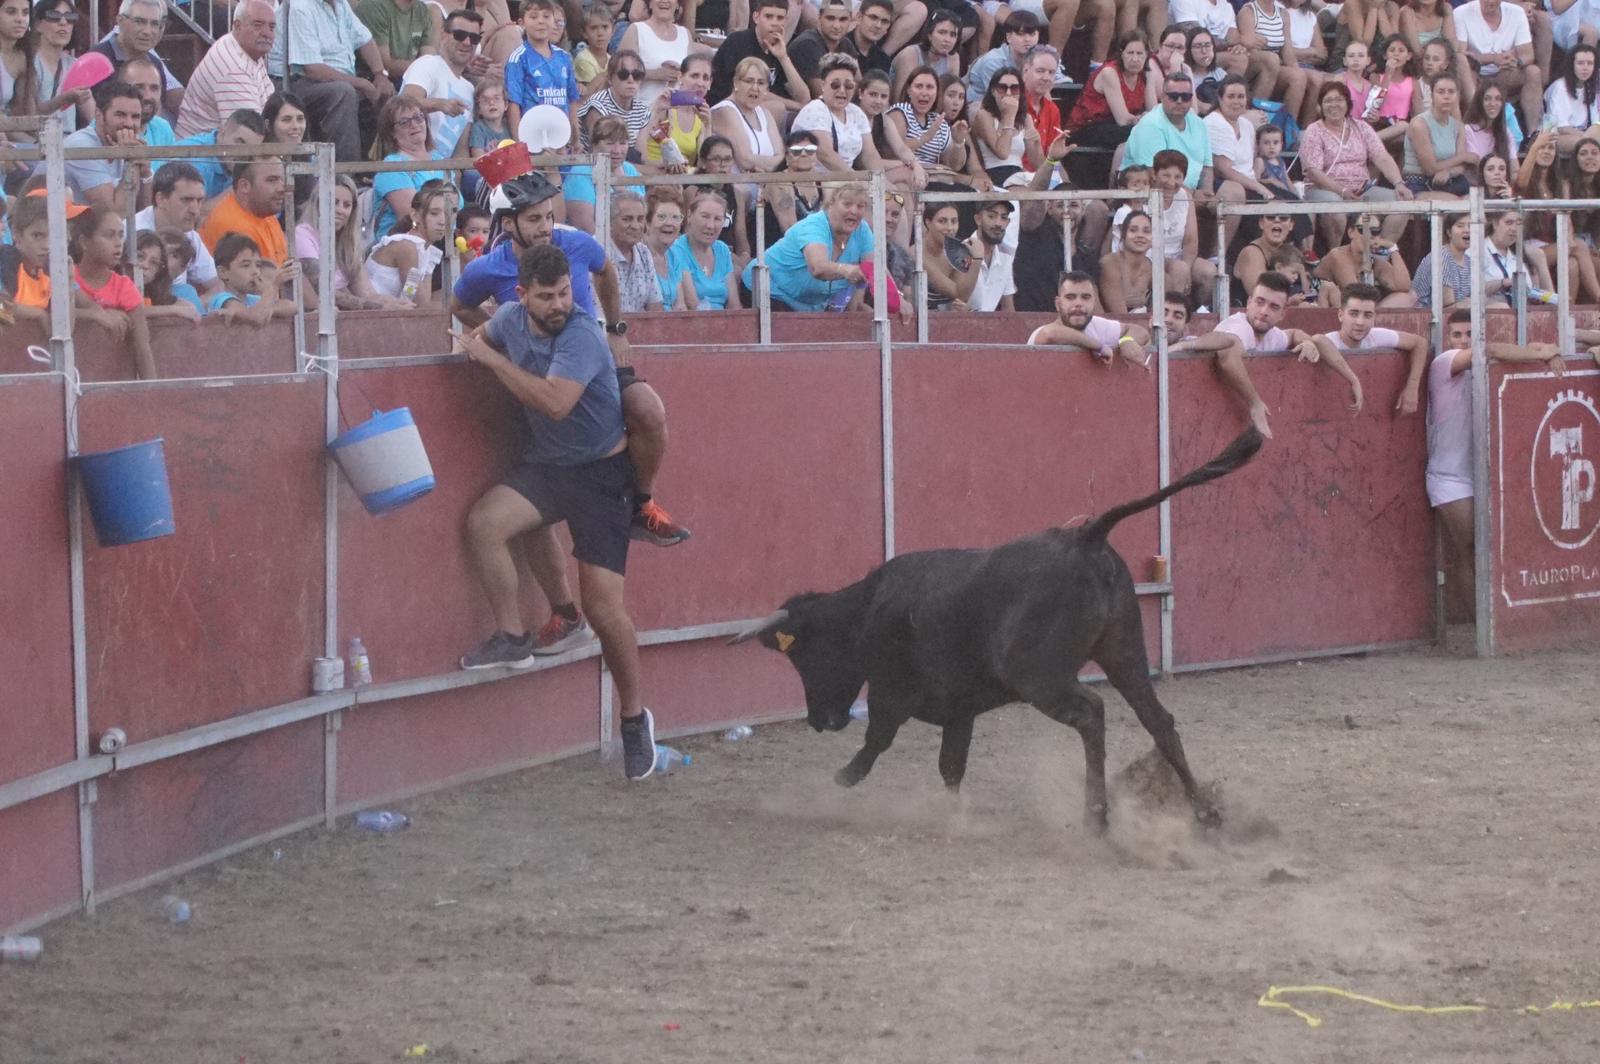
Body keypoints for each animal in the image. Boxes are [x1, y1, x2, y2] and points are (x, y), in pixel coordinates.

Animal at [732, 425, 1267, 832]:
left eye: (802, 655)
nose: (819, 720)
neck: (867, 611)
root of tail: (1084, 536)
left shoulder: (891, 691)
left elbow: (878, 740)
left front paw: (842, 778)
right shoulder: (959, 708)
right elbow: (951, 766)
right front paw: (954, 815)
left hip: (1038, 676)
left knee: (1092, 713)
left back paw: (1096, 817)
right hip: (1124, 653)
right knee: (1158, 721)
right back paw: (1204, 812)